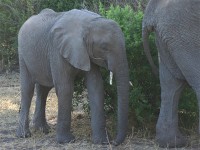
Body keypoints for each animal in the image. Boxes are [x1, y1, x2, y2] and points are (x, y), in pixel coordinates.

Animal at [16, 8, 130, 145]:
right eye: (104, 47)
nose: (113, 142)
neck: (88, 24)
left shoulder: (86, 52)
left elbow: (96, 86)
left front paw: (101, 141)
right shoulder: (57, 50)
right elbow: (65, 88)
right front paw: (66, 141)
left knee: (43, 90)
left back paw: (43, 129)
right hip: (22, 55)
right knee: (28, 90)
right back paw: (24, 135)